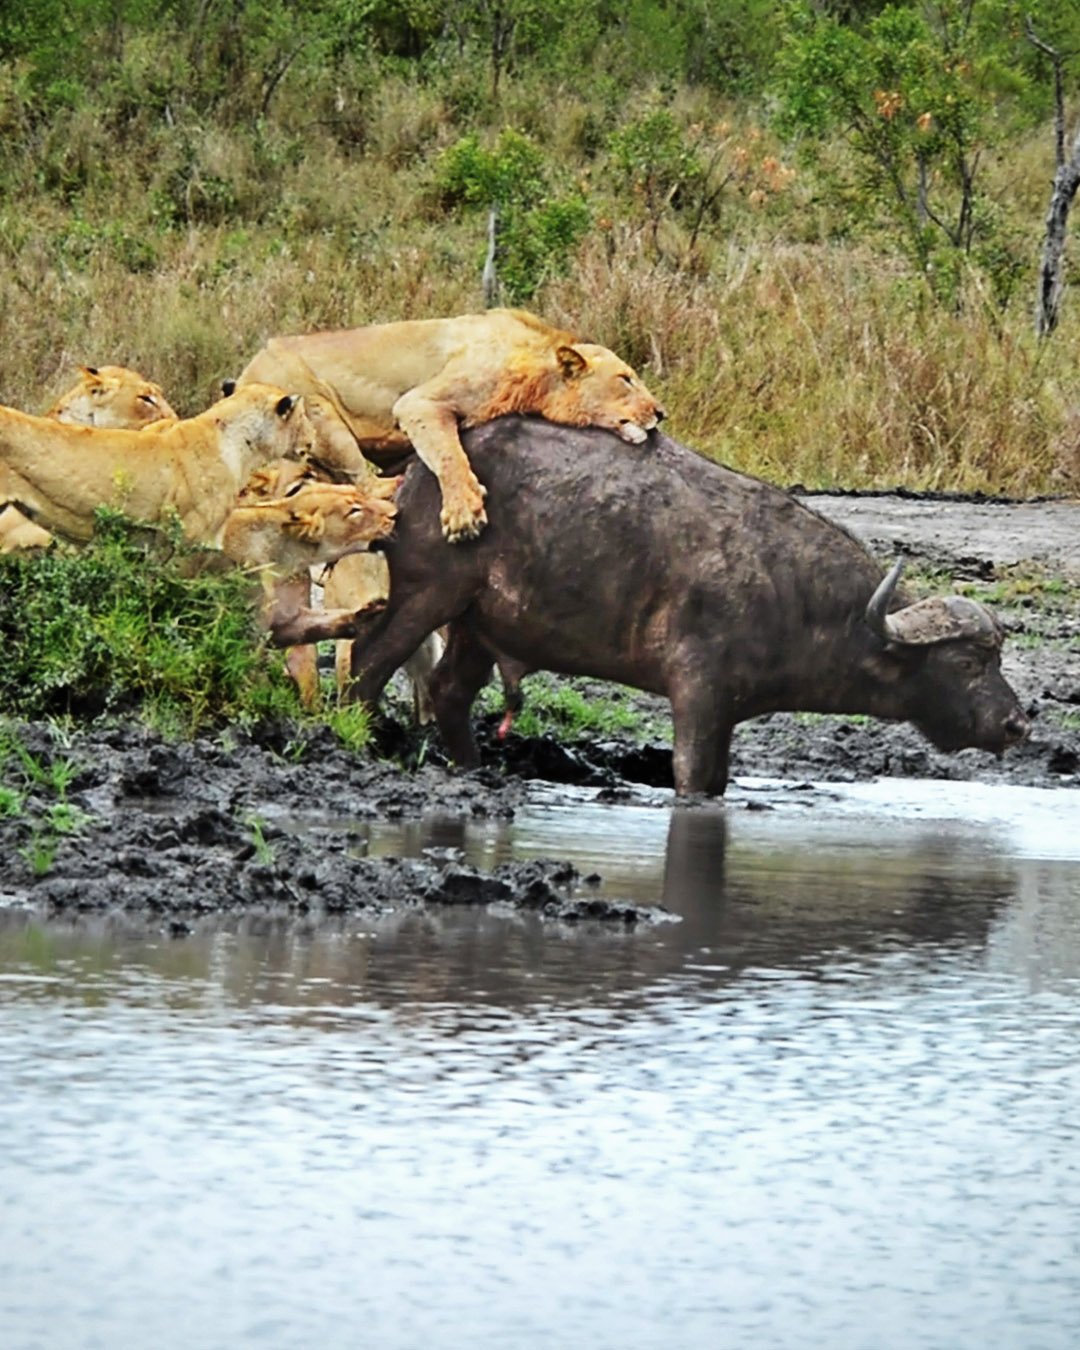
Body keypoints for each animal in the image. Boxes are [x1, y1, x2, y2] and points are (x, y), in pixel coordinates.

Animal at [235, 307, 665, 541]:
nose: (661, 413)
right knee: (363, 482)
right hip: (316, 410)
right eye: (626, 379)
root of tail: (243, 376)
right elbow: (449, 455)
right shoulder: (419, 402)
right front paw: (464, 515)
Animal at [345, 419, 1029, 795]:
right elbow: (692, 778)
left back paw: (473, 766)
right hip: (425, 593)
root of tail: (415, 473)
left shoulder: (727, 713)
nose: (1016, 725)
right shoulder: (698, 695)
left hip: (479, 627)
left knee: (448, 690)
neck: (797, 599)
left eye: (997, 659)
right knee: (367, 664)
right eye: (968, 664)